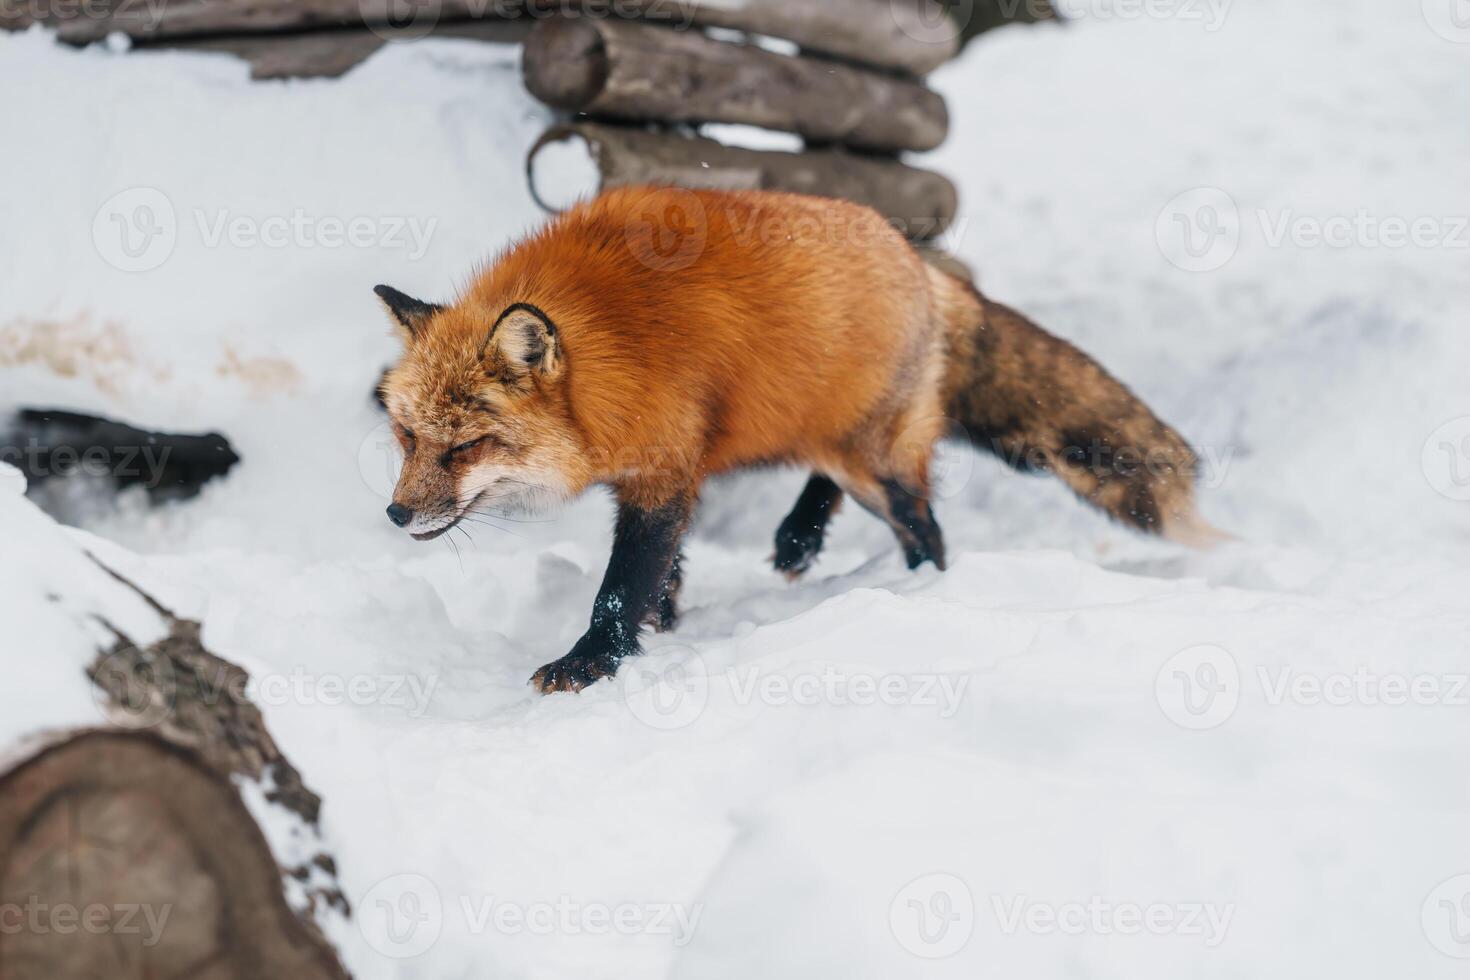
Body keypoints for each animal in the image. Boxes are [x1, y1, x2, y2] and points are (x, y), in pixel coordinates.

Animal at [376, 183, 1217, 690]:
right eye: (407, 437)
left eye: (465, 447)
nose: (395, 514)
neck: (616, 346)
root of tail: (920, 262)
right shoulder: (669, 471)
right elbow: (665, 575)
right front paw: (663, 630)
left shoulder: (662, 472)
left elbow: (621, 587)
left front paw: (591, 663)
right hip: (836, 438)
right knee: (827, 478)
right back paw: (799, 538)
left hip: (879, 464)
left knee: (926, 529)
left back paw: (916, 592)